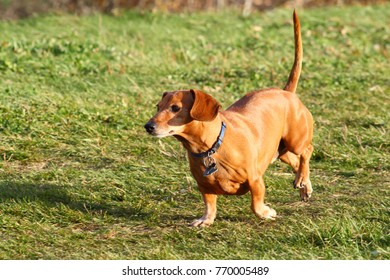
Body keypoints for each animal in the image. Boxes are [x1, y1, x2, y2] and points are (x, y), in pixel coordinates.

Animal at [144, 9, 314, 226]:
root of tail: (286, 92)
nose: (148, 126)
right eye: (158, 107)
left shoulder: (255, 179)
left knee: (307, 152)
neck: (211, 147)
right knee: (295, 161)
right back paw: (304, 185)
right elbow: (209, 204)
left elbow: (256, 203)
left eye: (175, 108)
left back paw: (302, 179)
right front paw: (205, 220)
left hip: (296, 140)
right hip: (280, 150)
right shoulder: (204, 186)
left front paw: (266, 212)